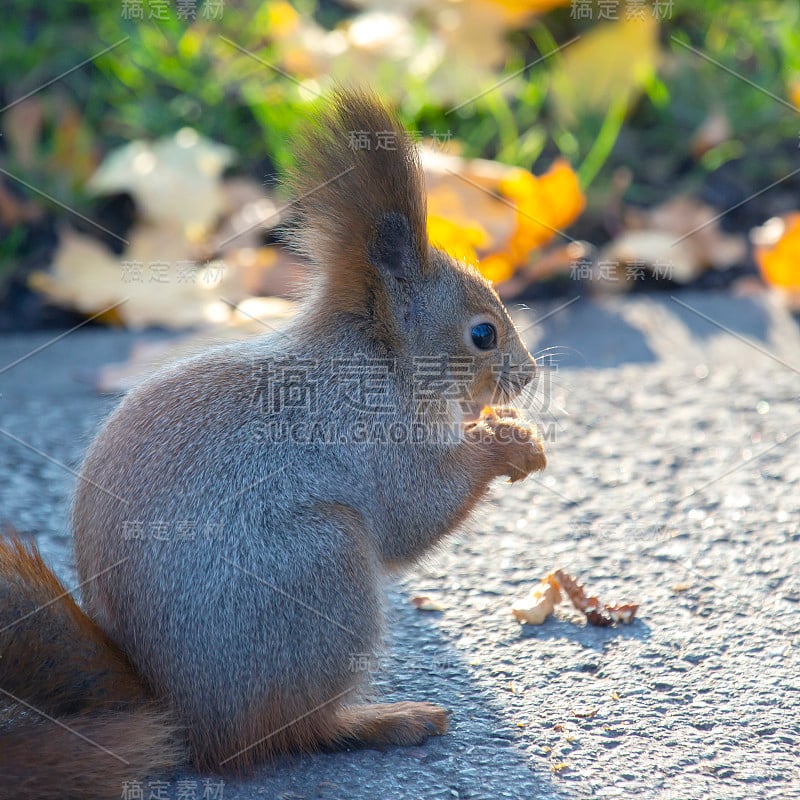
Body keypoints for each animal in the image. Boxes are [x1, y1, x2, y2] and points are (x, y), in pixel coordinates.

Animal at [0, 90, 548, 796]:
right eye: (483, 334)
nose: (528, 376)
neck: (380, 356)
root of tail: (179, 717)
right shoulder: (370, 434)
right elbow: (413, 512)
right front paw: (506, 442)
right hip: (319, 570)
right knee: (291, 733)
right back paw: (383, 720)